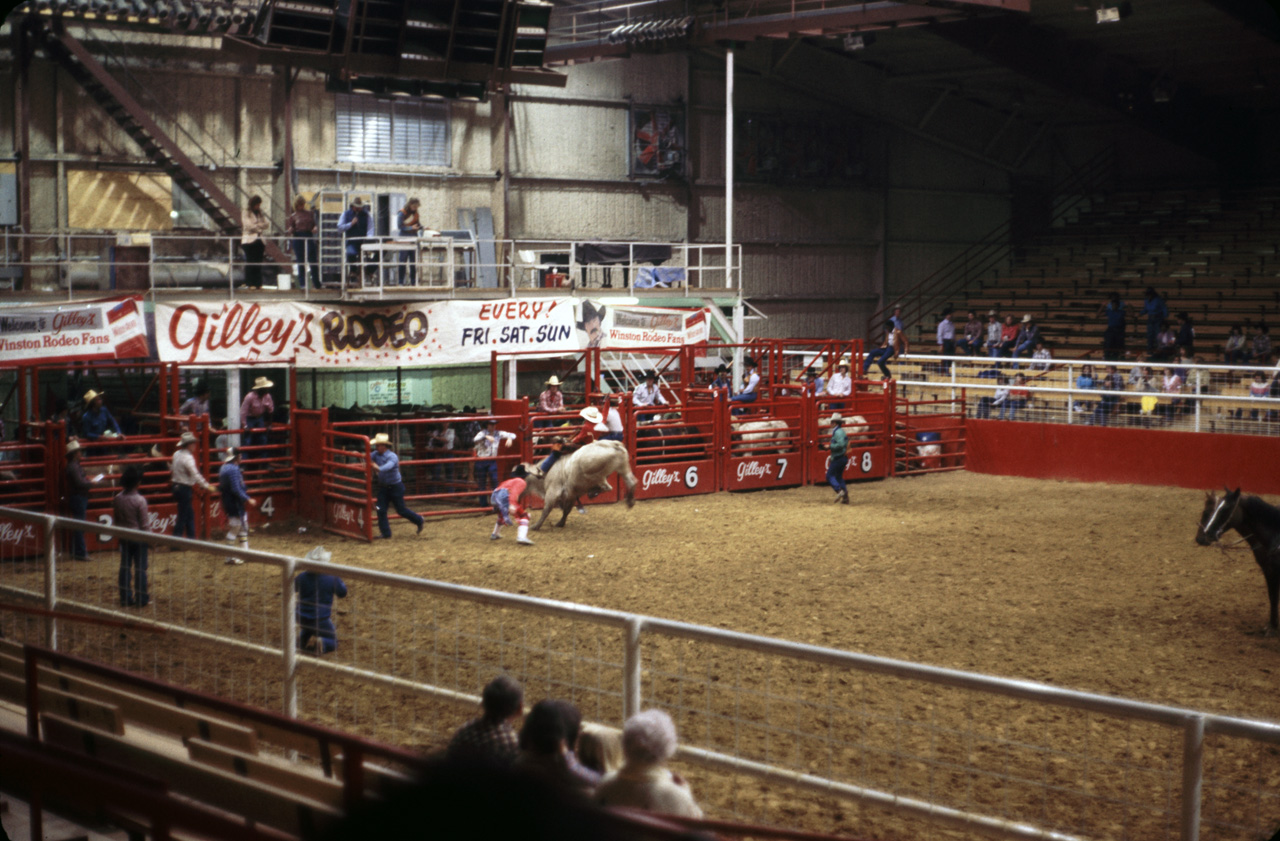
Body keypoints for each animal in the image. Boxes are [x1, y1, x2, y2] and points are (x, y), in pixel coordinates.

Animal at [1192, 488, 1280, 632]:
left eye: (1225, 511)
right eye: (1204, 512)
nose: (1200, 538)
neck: (1275, 535)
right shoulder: (1268, 569)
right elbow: (1273, 597)